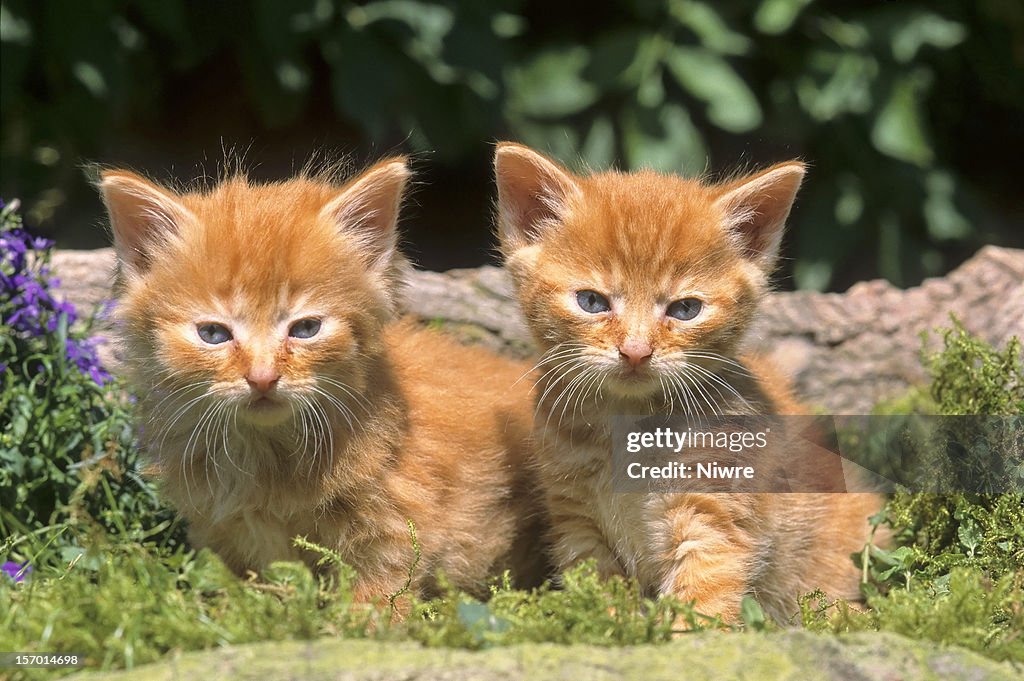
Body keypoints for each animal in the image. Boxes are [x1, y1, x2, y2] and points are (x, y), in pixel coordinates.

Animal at [101, 157, 544, 602]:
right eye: (213, 334)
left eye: (306, 328)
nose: (263, 377)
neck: (268, 459)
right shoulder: (224, 539)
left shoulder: (393, 538)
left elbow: (377, 602)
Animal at [493, 142, 880, 622]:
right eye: (592, 302)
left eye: (685, 309)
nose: (636, 351)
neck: (627, 428)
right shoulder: (577, 524)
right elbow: (602, 600)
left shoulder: (713, 521)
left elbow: (702, 603)